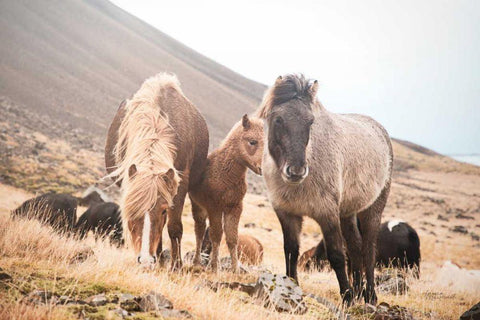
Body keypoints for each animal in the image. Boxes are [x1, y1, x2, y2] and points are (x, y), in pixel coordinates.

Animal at [105, 73, 208, 270]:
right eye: (131, 210)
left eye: (163, 211)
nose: (145, 260)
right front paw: (160, 261)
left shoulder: (180, 183)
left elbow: (174, 226)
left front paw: (176, 265)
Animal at [189, 114, 262, 272]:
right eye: (252, 141)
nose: (261, 168)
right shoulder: (214, 207)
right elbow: (216, 235)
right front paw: (215, 268)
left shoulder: (235, 207)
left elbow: (232, 238)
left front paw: (235, 270)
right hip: (198, 206)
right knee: (199, 230)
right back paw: (197, 262)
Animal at [258, 74, 394, 304]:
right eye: (278, 119)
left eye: (310, 121)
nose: (296, 171)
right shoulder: (287, 214)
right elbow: (290, 250)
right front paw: (291, 286)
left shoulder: (327, 214)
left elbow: (337, 255)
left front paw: (347, 298)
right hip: (347, 213)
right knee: (355, 246)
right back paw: (359, 290)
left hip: (372, 210)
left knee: (368, 249)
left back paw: (369, 295)